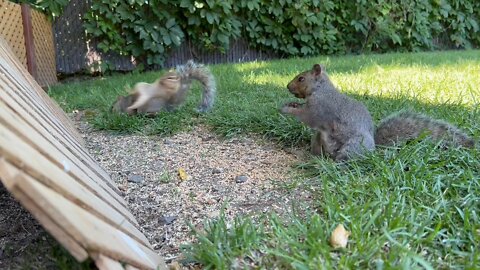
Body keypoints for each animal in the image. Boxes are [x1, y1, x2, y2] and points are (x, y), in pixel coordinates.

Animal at [282, 63, 476, 160]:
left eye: (301, 78)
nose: (288, 87)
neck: (321, 89)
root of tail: (374, 147)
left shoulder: (321, 109)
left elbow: (308, 116)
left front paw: (287, 109)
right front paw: (291, 103)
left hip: (354, 145)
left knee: (345, 159)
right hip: (319, 141)